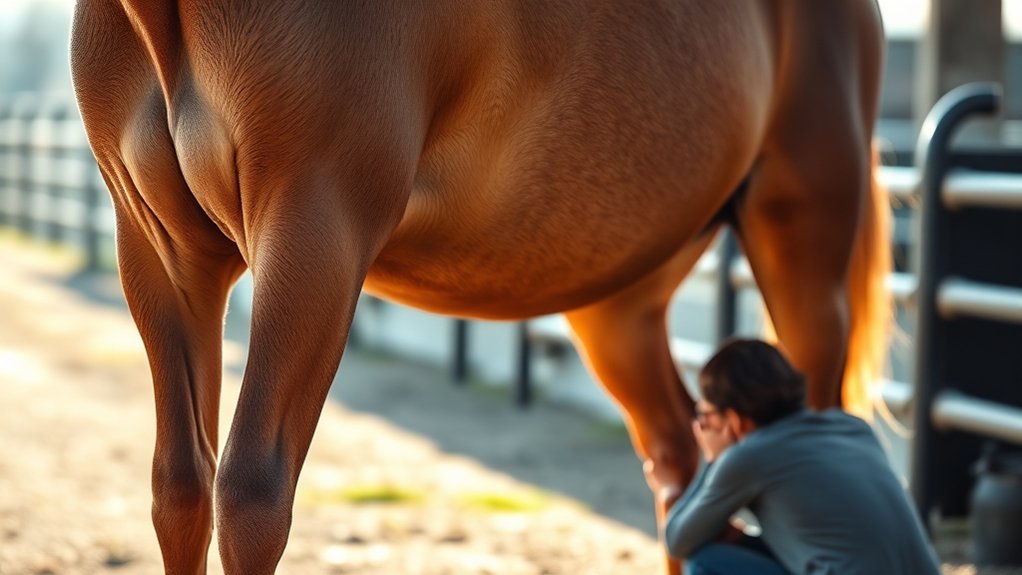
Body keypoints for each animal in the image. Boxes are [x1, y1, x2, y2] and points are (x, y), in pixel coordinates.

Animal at [70, 1, 889, 573]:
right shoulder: (162, 254)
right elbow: (181, 488)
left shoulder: (315, 227)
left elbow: (250, 495)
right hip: (617, 299)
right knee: (679, 462)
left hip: (801, 246)